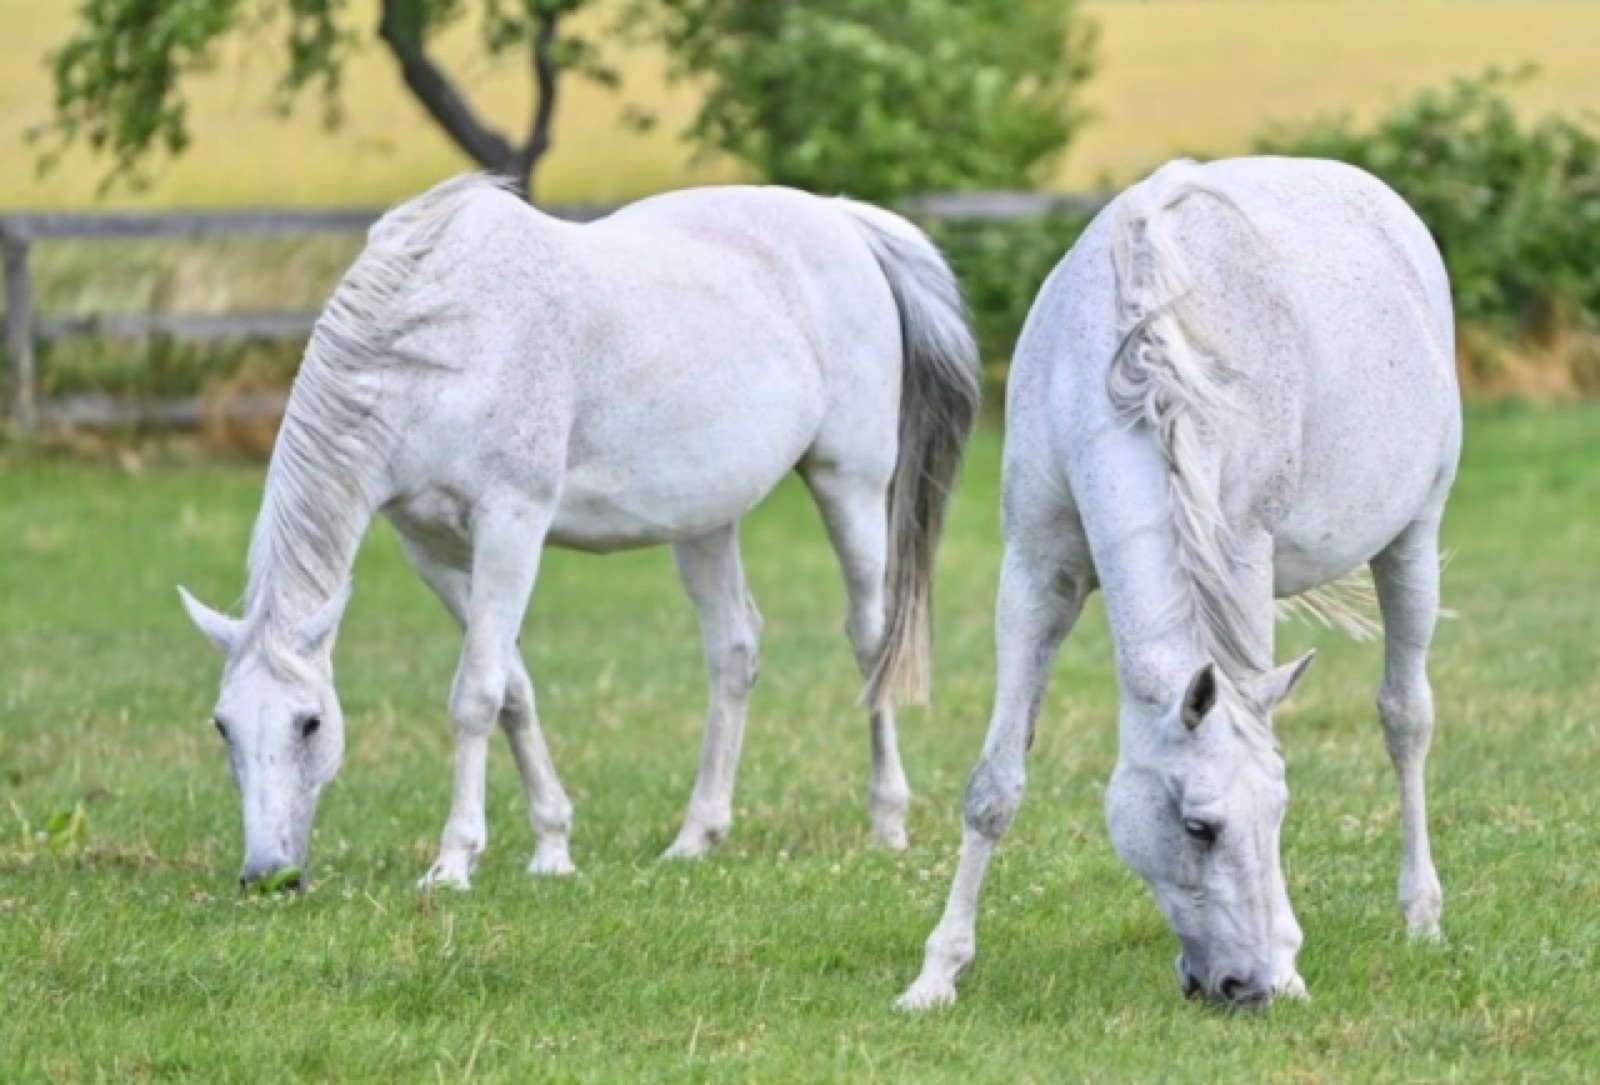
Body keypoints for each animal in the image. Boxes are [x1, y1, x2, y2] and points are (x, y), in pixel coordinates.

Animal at [178, 174, 980, 890]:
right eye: (222, 726)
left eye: (310, 723)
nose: (268, 875)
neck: (440, 341)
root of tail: (842, 219)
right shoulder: (433, 551)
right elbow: (513, 691)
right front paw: (552, 847)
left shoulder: (511, 526)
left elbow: (475, 694)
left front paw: (453, 863)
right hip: (705, 521)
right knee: (734, 650)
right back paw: (696, 836)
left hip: (850, 483)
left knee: (871, 640)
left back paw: (887, 822)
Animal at [898, 157, 1460, 1010]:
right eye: (1199, 827)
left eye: (1278, 813)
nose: (1249, 986)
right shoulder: (1035, 573)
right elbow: (995, 783)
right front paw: (936, 973)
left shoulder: (1243, 559)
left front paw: (1290, 960)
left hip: (1413, 541)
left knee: (1406, 717)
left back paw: (1421, 913)